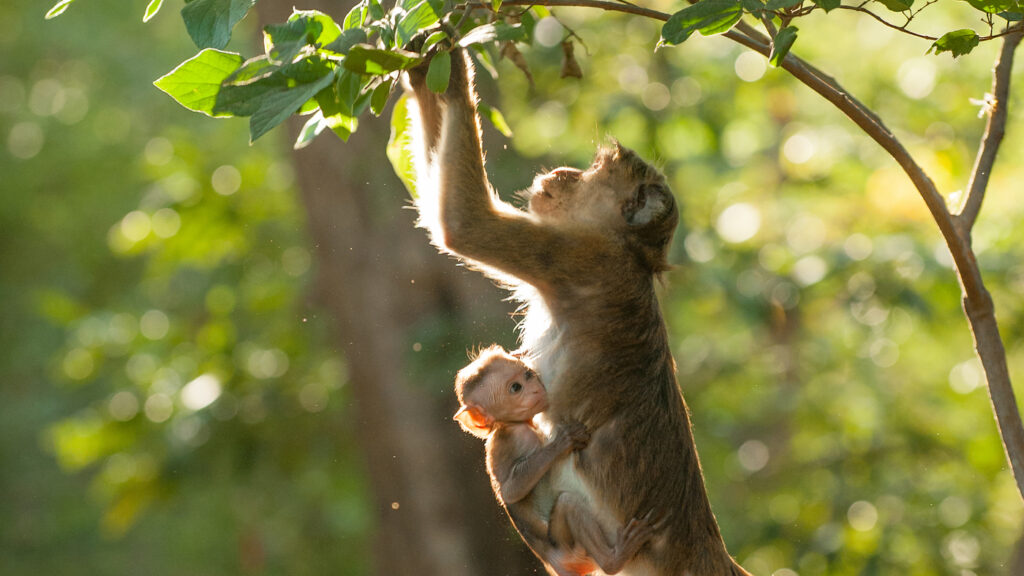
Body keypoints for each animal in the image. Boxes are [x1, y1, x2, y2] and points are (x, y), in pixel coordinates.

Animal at [454, 345, 661, 576]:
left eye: (527, 374)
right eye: (516, 388)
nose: (535, 387)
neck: (512, 424)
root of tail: (552, 562)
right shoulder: (513, 441)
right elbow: (511, 491)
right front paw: (562, 442)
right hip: (568, 549)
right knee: (568, 504)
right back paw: (614, 560)